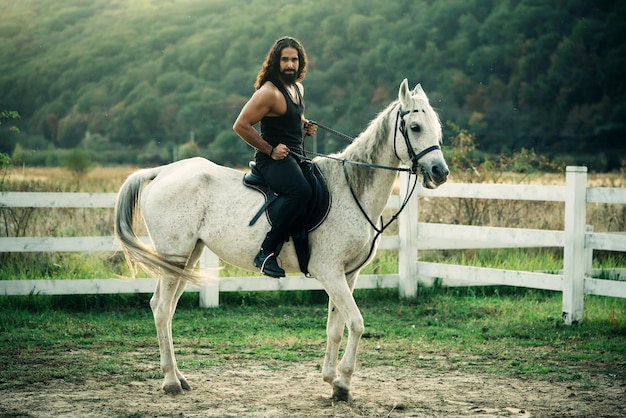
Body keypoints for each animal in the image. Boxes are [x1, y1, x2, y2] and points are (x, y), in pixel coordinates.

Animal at [114, 79, 446, 402]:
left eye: (436, 126)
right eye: (415, 127)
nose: (440, 172)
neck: (351, 189)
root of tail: (162, 172)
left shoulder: (347, 275)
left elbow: (335, 328)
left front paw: (331, 380)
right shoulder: (330, 272)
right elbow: (356, 323)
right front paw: (343, 384)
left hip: (188, 258)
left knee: (165, 308)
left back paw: (180, 377)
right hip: (175, 256)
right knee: (161, 309)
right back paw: (171, 381)